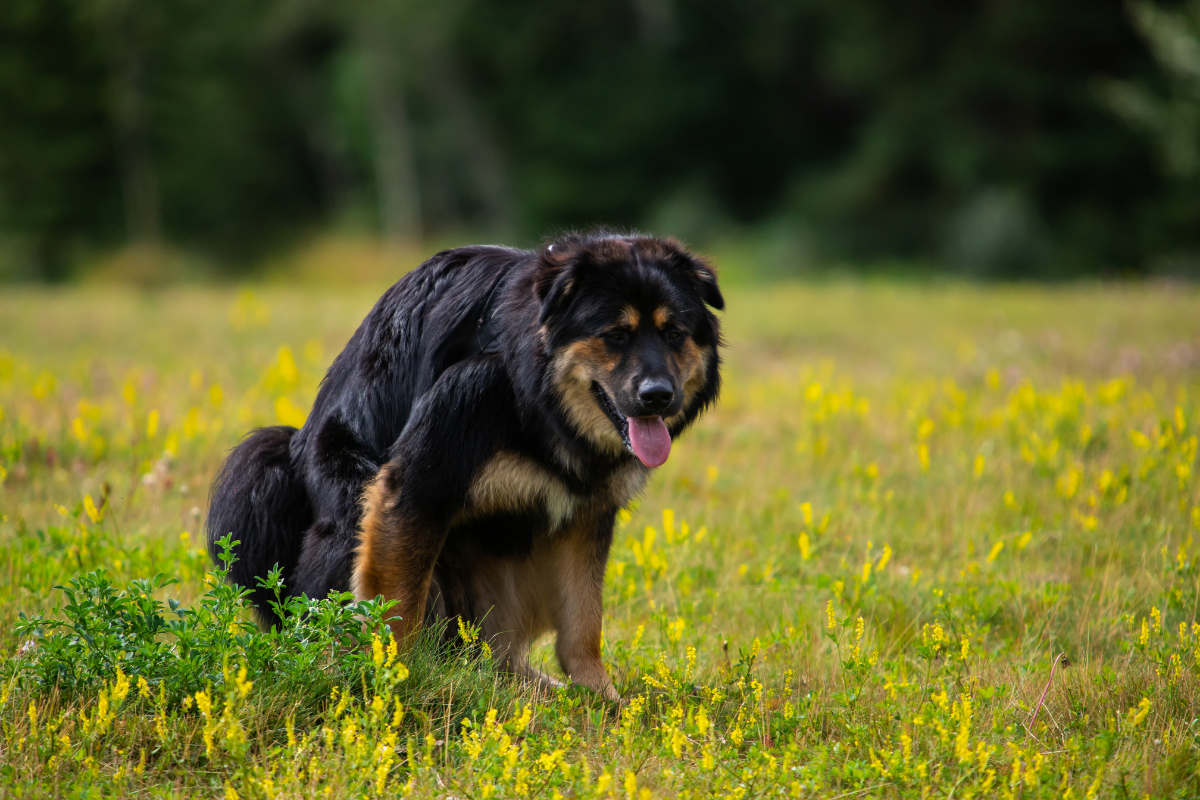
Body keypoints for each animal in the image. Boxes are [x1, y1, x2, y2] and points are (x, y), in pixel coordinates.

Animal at [206, 231, 720, 700]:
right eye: (615, 335)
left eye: (674, 334)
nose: (659, 396)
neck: (533, 393)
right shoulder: (423, 472)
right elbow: (397, 608)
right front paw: (390, 680)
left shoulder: (587, 512)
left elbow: (583, 619)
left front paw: (599, 696)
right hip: (289, 476)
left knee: (495, 655)